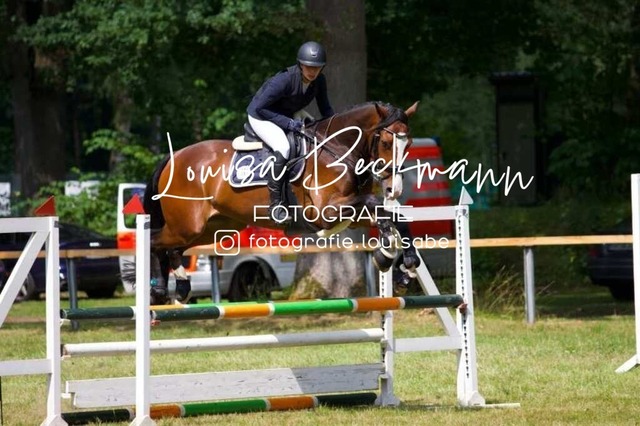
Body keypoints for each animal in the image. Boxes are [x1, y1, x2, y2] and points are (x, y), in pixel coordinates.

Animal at [141, 101, 421, 304]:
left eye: (409, 144)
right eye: (385, 142)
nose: (393, 189)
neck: (338, 150)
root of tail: (174, 156)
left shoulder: (349, 216)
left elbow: (395, 217)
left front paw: (404, 269)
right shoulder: (326, 212)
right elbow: (376, 204)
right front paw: (386, 254)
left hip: (214, 227)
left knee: (174, 249)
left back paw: (178, 287)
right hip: (187, 226)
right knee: (155, 241)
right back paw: (159, 291)